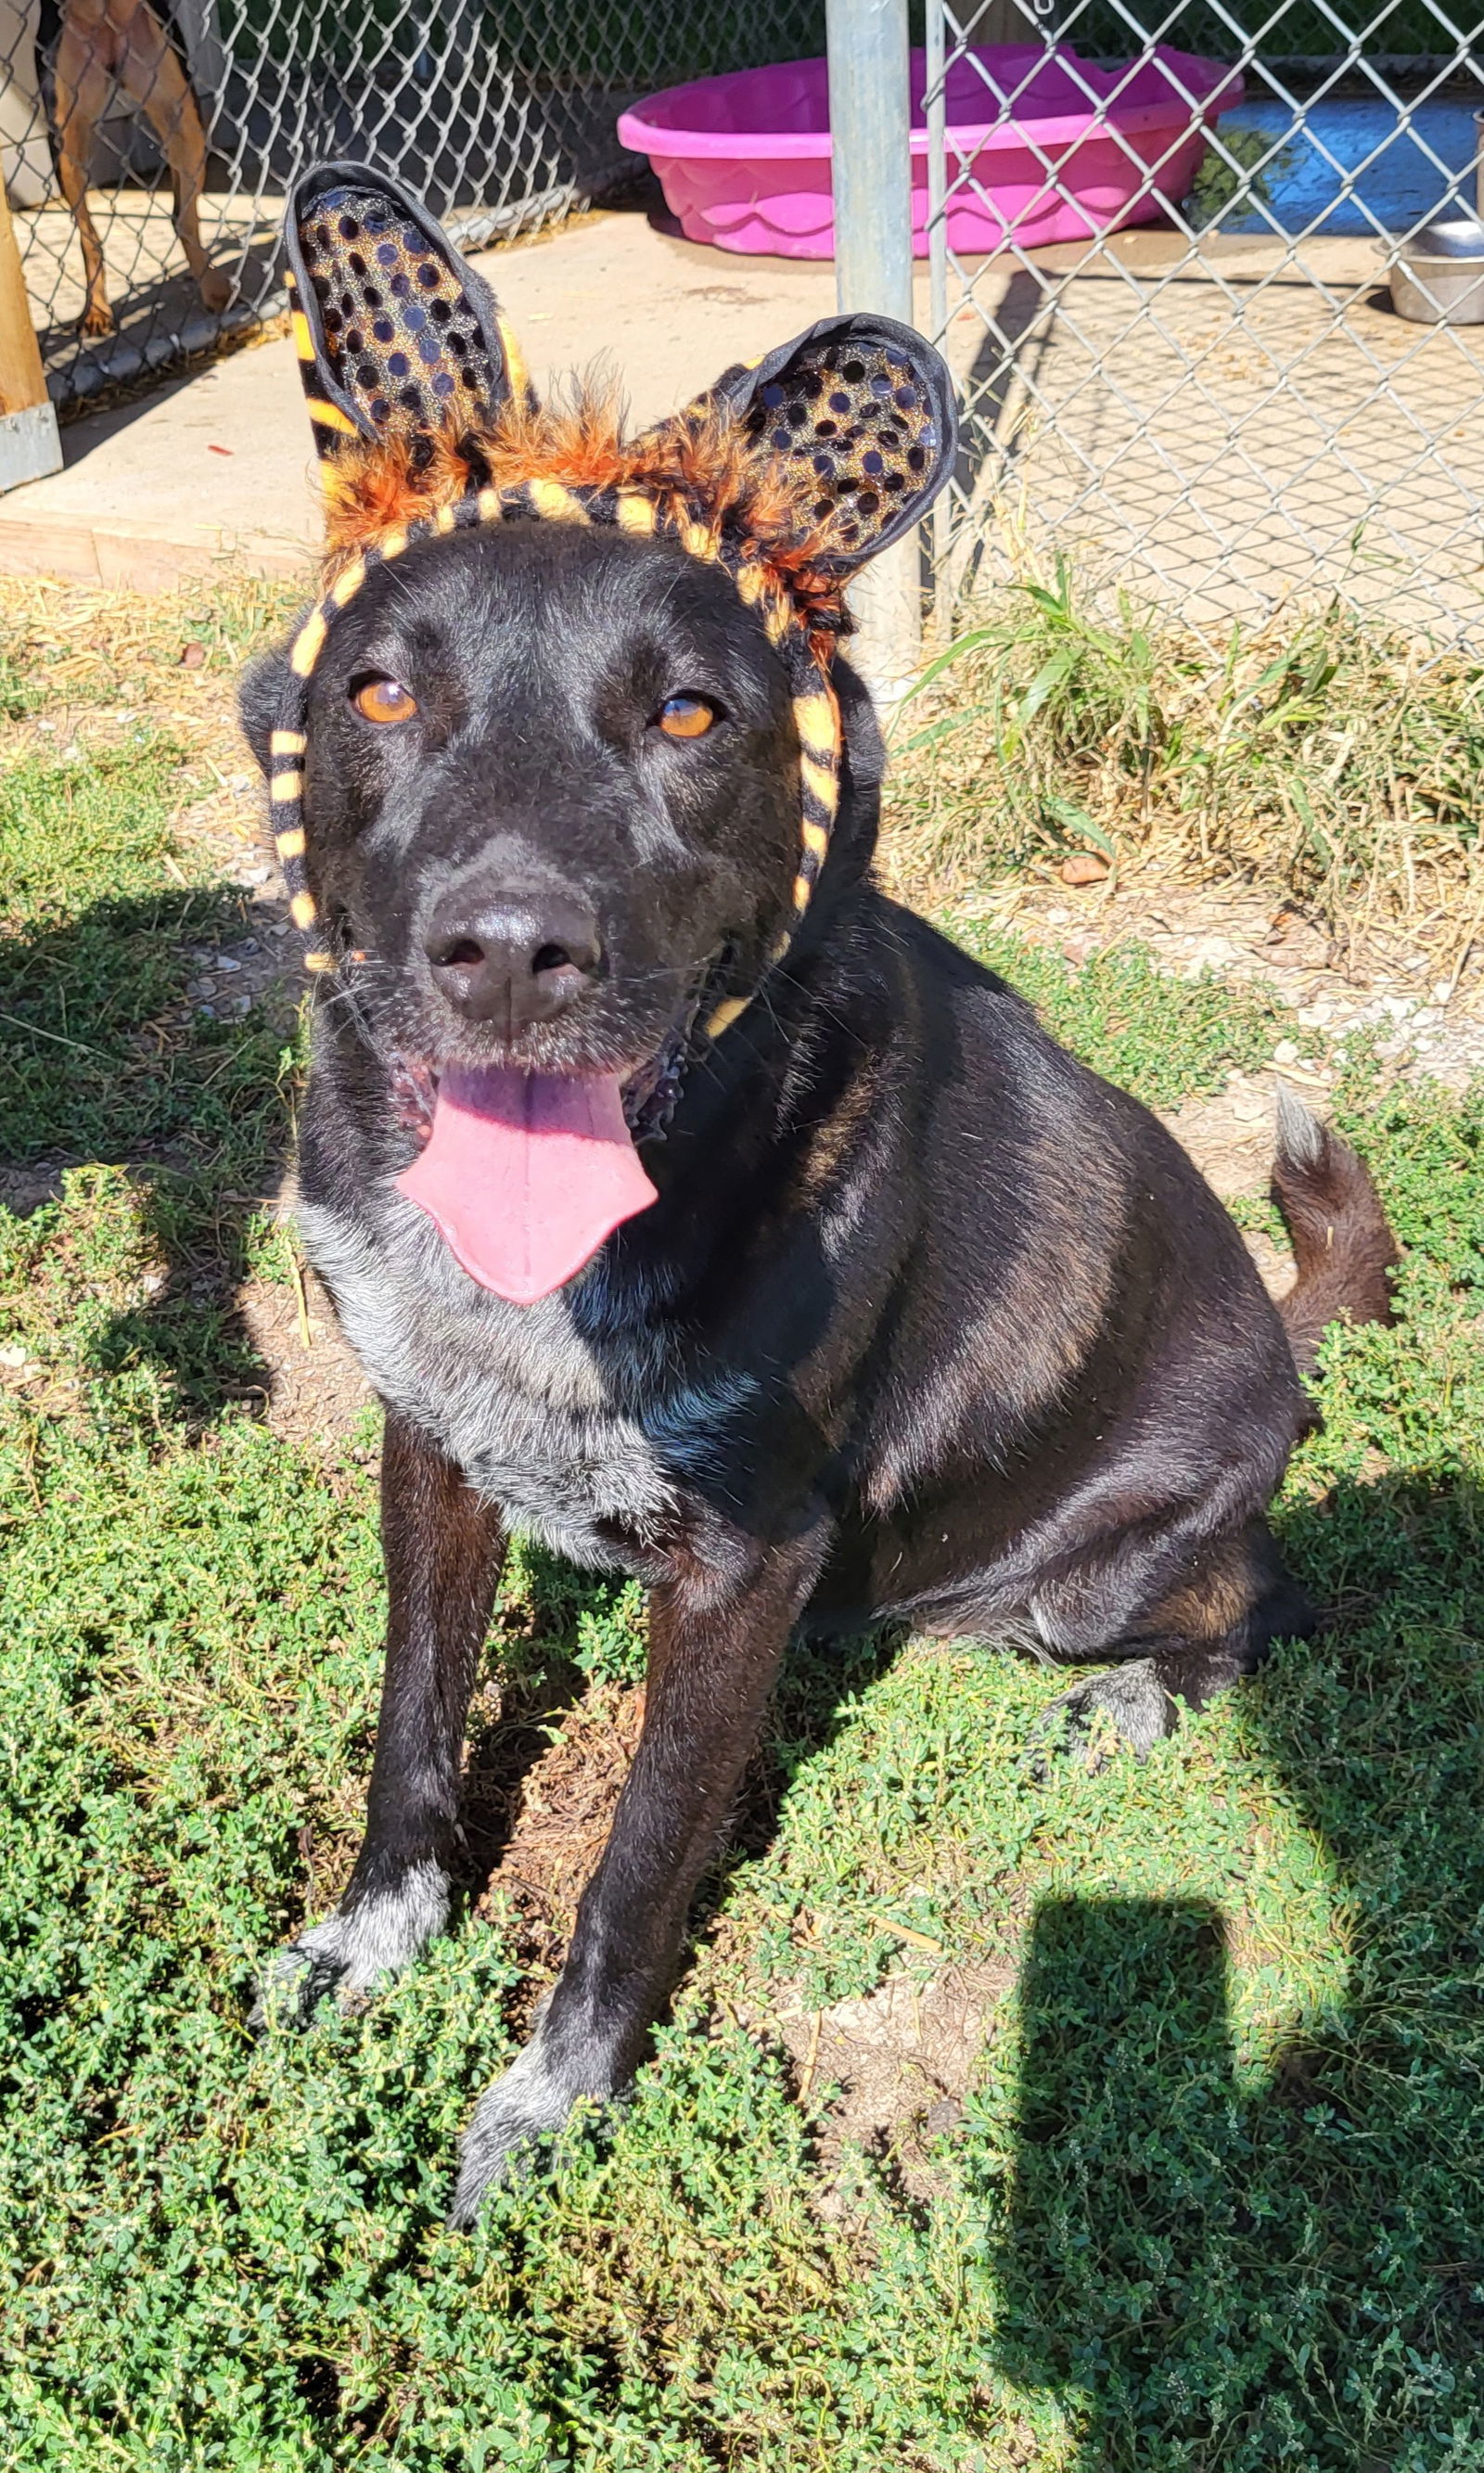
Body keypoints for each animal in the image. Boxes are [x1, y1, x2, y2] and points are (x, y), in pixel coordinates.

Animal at [237, 164, 1395, 2236]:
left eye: (695, 717)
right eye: (377, 689)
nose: (507, 954)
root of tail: (1280, 1345)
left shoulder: (743, 1569)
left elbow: (632, 1867)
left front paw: (550, 2104)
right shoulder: (427, 1452)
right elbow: (411, 1724)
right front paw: (372, 1940)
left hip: (1104, 1572)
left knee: (1259, 1597)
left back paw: (1141, 1692)